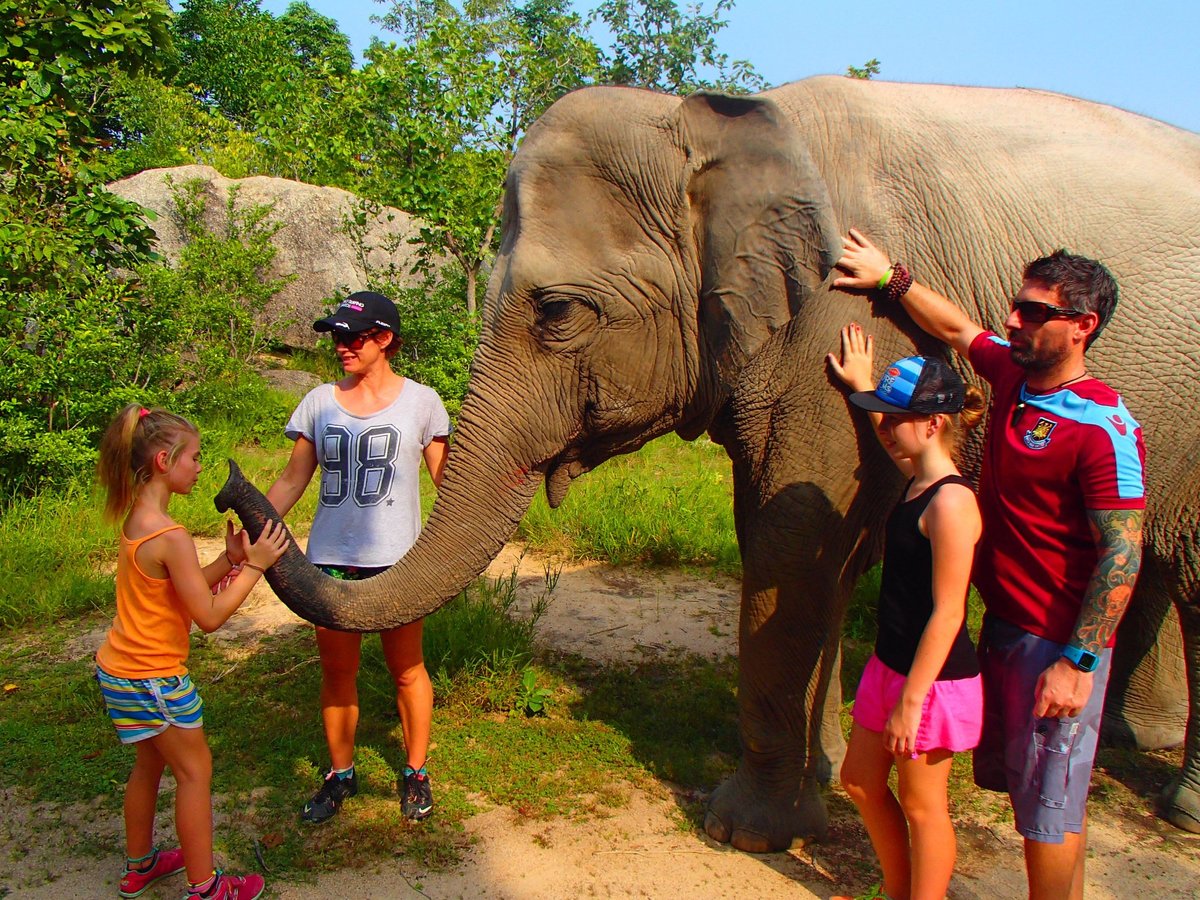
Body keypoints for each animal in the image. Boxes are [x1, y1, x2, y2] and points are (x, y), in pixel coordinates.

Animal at [216, 75, 1200, 854]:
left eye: (558, 313)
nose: (231, 489)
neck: (713, 122)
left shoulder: (839, 328)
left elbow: (789, 535)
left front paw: (749, 830)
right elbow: (821, 546)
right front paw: (830, 774)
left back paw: (1175, 799)